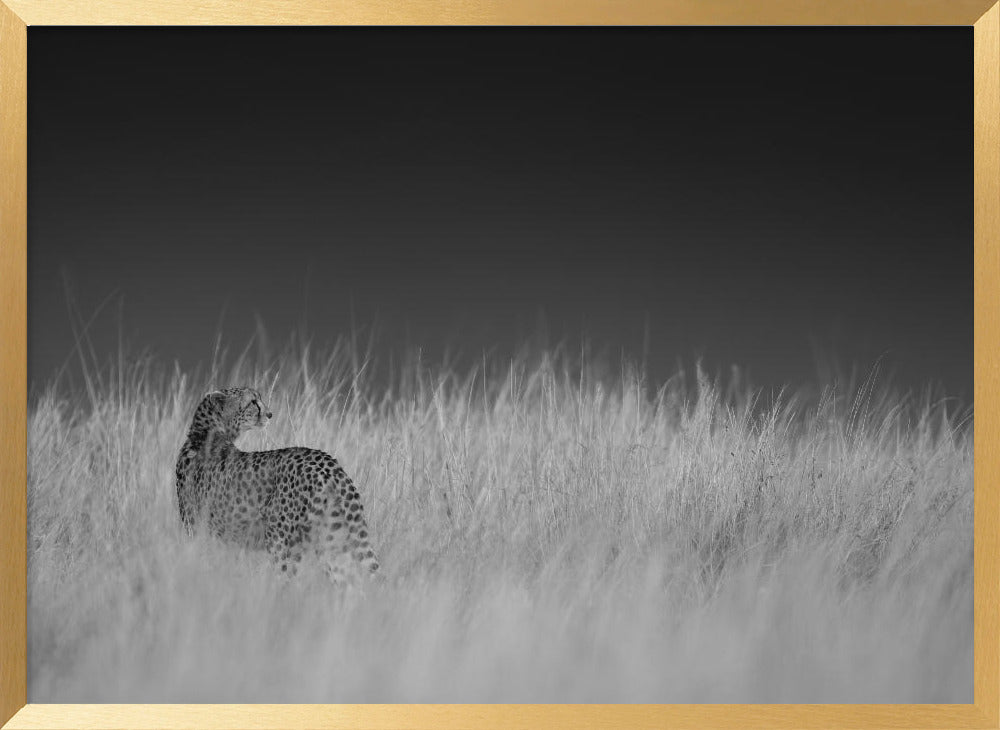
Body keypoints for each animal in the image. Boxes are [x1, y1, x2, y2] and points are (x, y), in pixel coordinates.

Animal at [176, 386, 378, 580]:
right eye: (252, 402)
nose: (270, 414)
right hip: (332, 539)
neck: (204, 434)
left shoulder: (201, 532)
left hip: (281, 541)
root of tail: (327, 462)